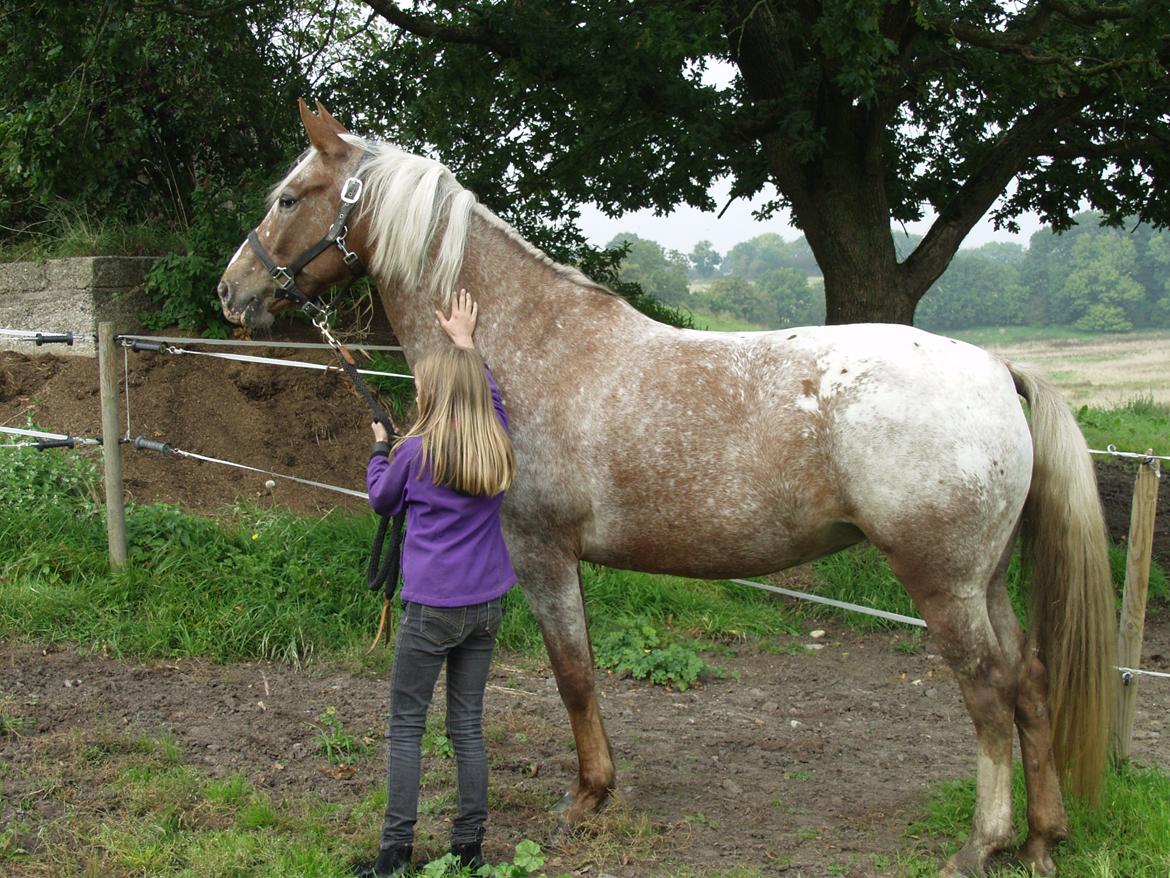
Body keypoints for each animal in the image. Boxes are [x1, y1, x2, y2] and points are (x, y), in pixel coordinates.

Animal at [215, 99, 1118, 875]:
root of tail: (995, 368)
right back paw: (1044, 839)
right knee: (1029, 682)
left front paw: (587, 798)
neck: (525, 347)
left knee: (988, 694)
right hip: (986, 580)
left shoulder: (539, 550)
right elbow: (580, 672)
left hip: (943, 583)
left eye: (290, 197)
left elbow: (573, 674)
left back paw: (982, 844)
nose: (233, 291)